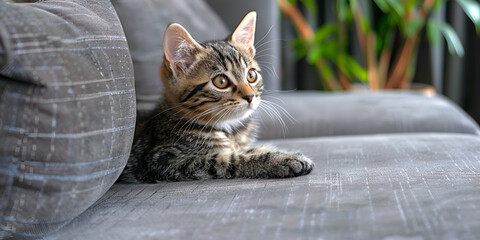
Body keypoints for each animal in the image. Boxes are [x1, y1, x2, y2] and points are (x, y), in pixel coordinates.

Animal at [122, 12, 314, 183]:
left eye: (251, 75)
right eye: (221, 82)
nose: (250, 96)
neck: (229, 129)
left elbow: (246, 150)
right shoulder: (161, 160)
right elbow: (227, 159)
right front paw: (281, 160)